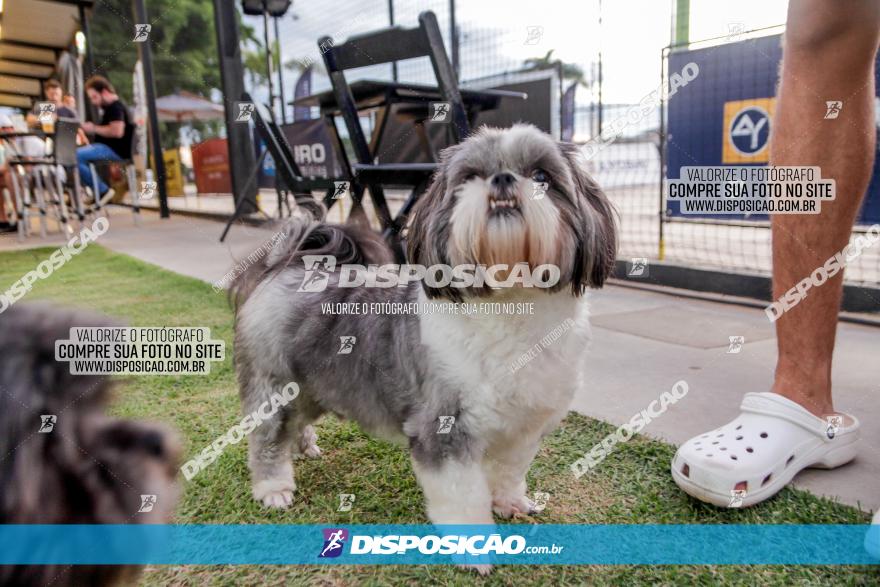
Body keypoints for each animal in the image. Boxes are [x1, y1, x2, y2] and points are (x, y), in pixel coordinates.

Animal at [234, 123, 620, 524]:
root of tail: (286, 264)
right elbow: (463, 500)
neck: (512, 304)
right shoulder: (444, 429)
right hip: (274, 386)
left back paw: (303, 445)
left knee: (296, 422)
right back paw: (273, 487)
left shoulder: (523, 429)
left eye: (542, 176)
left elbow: (510, 471)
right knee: (268, 437)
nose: (502, 178)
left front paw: (509, 502)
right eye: (469, 177)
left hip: (314, 386)